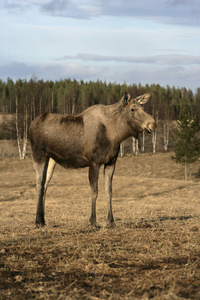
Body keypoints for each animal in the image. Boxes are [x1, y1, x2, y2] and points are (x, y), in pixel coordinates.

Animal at [28, 92, 155, 226]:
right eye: (132, 109)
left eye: (143, 108)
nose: (153, 124)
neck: (115, 136)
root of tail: (31, 125)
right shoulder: (94, 162)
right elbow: (94, 191)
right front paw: (93, 220)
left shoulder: (111, 163)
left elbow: (109, 191)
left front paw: (110, 221)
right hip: (38, 154)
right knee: (39, 184)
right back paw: (37, 220)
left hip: (51, 159)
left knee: (45, 185)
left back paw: (42, 219)